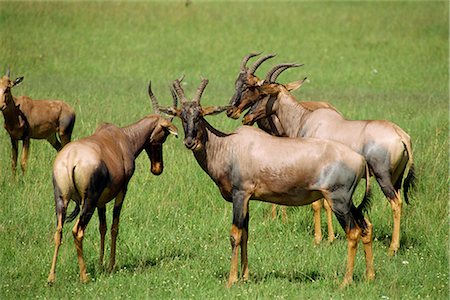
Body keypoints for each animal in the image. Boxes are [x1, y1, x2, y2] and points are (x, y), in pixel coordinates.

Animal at [47, 81, 178, 284]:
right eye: (163, 135)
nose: (157, 168)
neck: (121, 137)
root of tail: (70, 160)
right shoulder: (122, 190)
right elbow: (115, 226)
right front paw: (110, 266)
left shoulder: (101, 200)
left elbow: (102, 227)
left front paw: (101, 265)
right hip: (89, 201)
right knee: (77, 231)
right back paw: (84, 276)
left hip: (61, 199)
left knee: (58, 231)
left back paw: (51, 277)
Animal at [159, 76, 376, 288]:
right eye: (182, 116)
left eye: (200, 115)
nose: (190, 142)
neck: (229, 145)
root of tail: (360, 159)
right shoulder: (247, 199)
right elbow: (245, 234)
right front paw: (245, 277)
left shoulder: (240, 195)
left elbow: (235, 235)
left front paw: (232, 280)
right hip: (348, 202)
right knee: (365, 227)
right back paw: (369, 276)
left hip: (338, 200)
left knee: (353, 232)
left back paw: (345, 281)